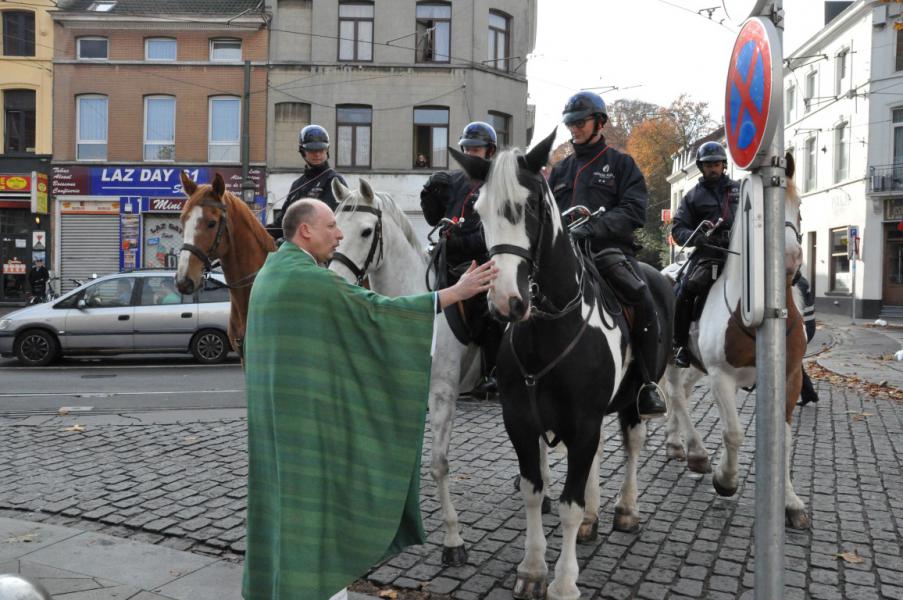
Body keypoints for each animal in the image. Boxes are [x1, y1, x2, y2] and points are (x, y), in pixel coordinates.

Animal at [456, 132, 676, 600]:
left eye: (531, 206)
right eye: (478, 211)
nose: (505, 301)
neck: (549, 328)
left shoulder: (585, 420)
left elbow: (568, 506)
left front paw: (563, 582)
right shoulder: (521, 422)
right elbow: (534, 492)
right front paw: (533, 569)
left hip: (635, 399)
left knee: (632, 445)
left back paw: (625, 509)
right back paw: (595, 517)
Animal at [664, 155, 812, 528]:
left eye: (799, 206)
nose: (790, 259)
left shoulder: (790, 378)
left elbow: (783, 440)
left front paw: (790, 502)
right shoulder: (722, 377)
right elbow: (733, 433)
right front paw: (726, 480)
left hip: (695, 364)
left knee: (681, 392)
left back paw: (676, 444)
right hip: (672, 357)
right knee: (675, 393)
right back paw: (697, 452)